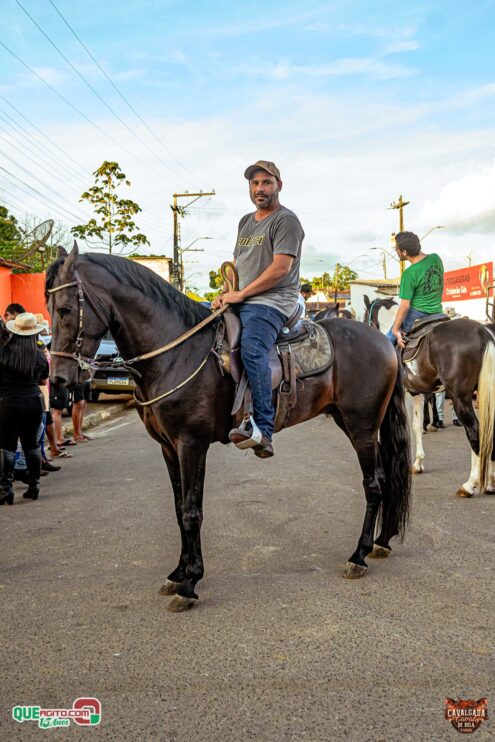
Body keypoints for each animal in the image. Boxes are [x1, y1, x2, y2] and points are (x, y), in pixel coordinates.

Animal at [46, 243, 412, 612]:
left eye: (65, 309)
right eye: (48, 309)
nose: (58, 379)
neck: (176, 353)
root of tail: (383, 341)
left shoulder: (191, 444)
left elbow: (191, 512)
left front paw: (190, 583)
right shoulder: (169, 447)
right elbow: (179, 509)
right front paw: (179, 573)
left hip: (361, 425)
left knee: (373, 484)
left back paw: (359, 555)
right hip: (351, 421)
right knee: (385, 478)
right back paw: (381, 542)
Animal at [364, 296, 495, 496]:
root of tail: (483, 332)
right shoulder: (416, 393)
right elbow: (417, 425)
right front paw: (418, 463)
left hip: (460, 398)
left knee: (475, 432)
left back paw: (470, 484)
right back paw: (491, 483)